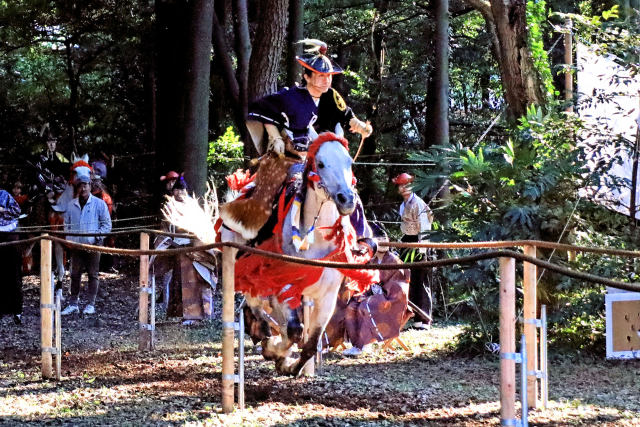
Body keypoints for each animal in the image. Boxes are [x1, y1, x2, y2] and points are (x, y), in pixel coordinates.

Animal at [165, 134, 378, 378]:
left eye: (349, 162)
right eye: (321, 164)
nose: (347, 199)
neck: (316, 240)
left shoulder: (327, 297)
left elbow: (310, 343)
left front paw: (290, 363)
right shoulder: (281, 286)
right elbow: (294, 330)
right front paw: (277, 353)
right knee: (256, 305)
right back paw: (265, 336)